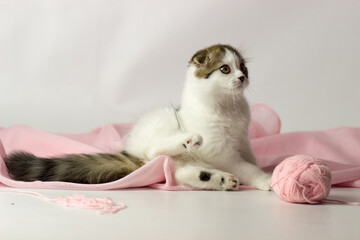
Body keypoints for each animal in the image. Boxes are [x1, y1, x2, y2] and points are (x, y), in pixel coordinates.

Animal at [4, 44, 270, 191]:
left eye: (243, 68)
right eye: (225, 69)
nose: (242, 78)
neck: (229, 106)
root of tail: (132, 150)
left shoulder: (242, 140)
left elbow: (250, 158)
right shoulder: (220, 150)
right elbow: (246, 167)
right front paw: (264, 179)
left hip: (185, 162)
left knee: (181, 173)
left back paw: (222, 180)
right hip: (164, 123)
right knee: (155, 151)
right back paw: (189, 141)